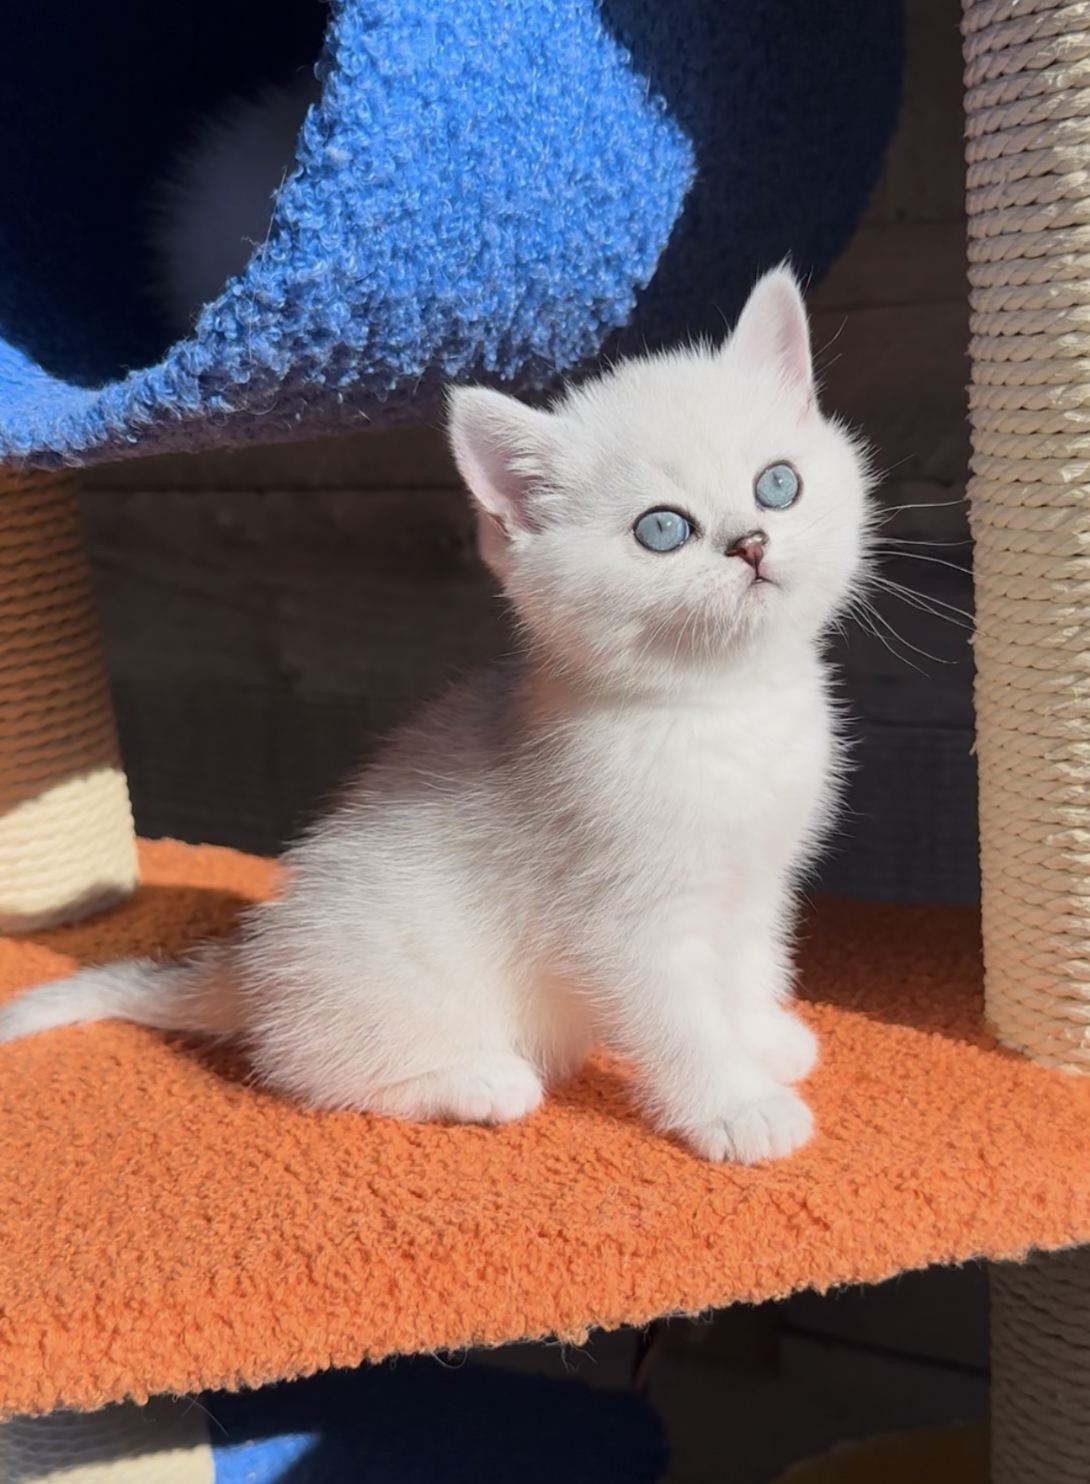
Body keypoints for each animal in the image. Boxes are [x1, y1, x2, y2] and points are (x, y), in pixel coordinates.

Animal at [0, 267, 873, 1163]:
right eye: (662, 529)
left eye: (778, 483)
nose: (752, 542)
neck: (720, 707)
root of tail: (253, 968)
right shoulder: (622, 921)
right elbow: (682, 1021)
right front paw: (737, 1105)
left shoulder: (758, 880)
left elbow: (749, 963)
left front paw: (761, 1039)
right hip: (400, 978)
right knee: (306, 1071)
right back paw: (478, 1080)